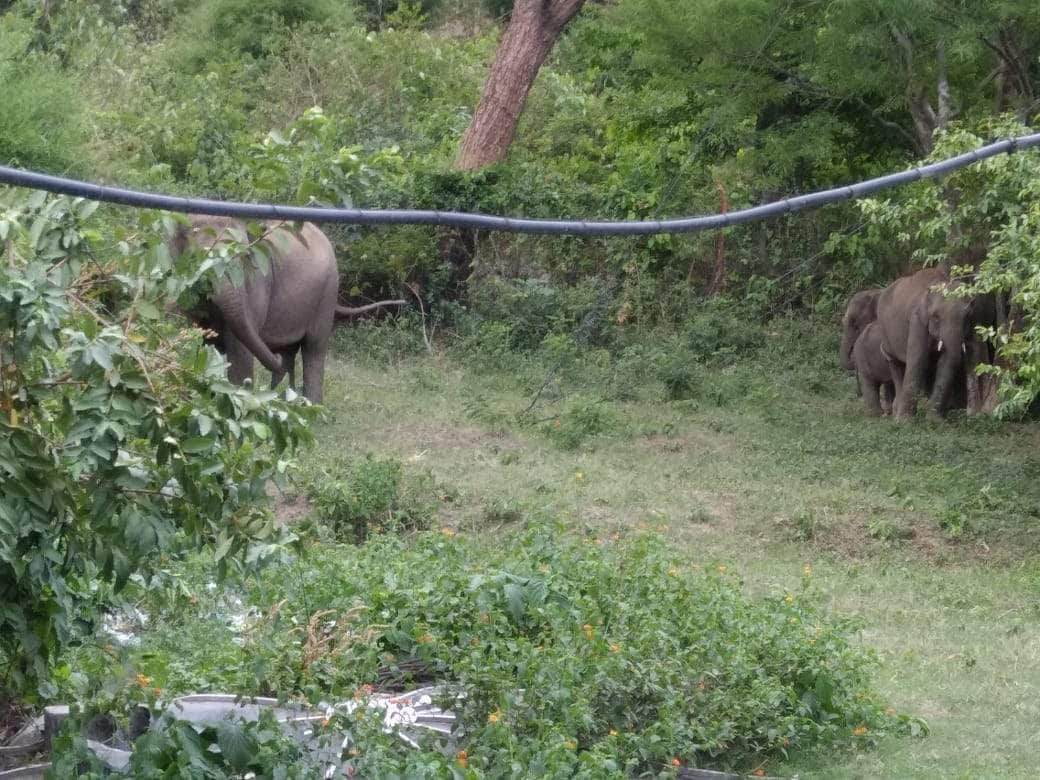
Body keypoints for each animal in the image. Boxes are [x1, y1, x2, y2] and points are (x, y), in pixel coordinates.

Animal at [171, 215, 405, 404]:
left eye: (243, 258)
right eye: (197, 259)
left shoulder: (256, 286)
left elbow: (240, 350)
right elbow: (205, 343)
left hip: (327, 294)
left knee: (314, 348)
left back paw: (311, 406)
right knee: (289, 351)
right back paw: (283, 398)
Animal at [876, 265, 995, 420]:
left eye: (967, 316)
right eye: (935, 316)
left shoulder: (976, 318)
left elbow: (956, 360)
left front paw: (935, 419)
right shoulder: (917, 320)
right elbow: (918, 360)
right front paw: (904, 420)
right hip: (885, 332)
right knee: (895, 362)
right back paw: (897, 413)